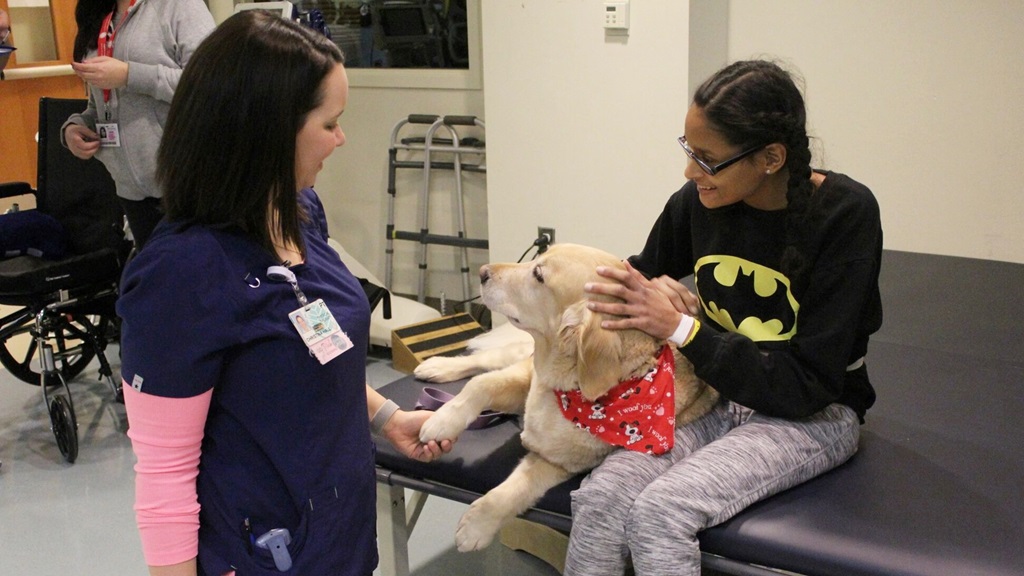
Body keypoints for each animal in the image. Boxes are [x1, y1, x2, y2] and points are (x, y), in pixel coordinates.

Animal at [417, 240, 720, 545]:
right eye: (536, 259)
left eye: (538, 275)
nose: (482, 272)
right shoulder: (529, 378)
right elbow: (480, 385)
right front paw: (442, 421)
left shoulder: (557, 463)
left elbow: (513, 491)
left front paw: (476, 526)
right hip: (519, 359)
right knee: (483, 360)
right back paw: (438, 365)